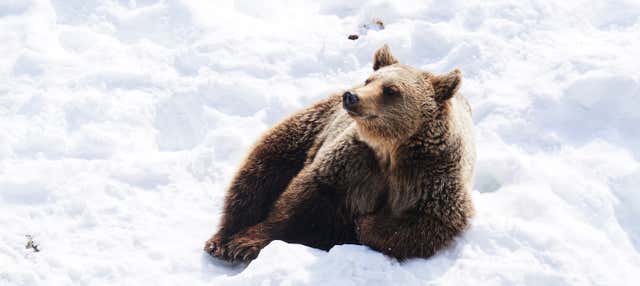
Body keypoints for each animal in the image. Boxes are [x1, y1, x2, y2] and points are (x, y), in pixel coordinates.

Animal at [204, 44, 476, 262]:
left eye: (391, 90)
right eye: (369, 80)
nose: (352, 96)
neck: (390, 149)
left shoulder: (429, 176)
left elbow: (427, 223)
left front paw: (363, 224)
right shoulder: (354, 163)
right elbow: (302, 200)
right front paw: (243, 243)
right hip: (308, 130)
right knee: (258, 173)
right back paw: (221, 239)